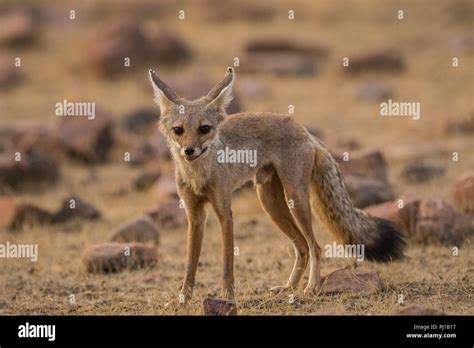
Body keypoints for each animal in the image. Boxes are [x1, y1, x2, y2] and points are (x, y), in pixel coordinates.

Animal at [147, 66, 404, 304]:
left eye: (204, 129)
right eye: (178, 130)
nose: (189, 151)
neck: (198, 176)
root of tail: (305, 130)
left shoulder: (225, 213)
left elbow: (227, 264)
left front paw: (228, 298)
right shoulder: (194, 216)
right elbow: (190, 265)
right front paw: (182, 299)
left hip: (295, 200)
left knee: (315, 247)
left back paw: (311, 287)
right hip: (270, 203)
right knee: (302, 247)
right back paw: (289, 287)